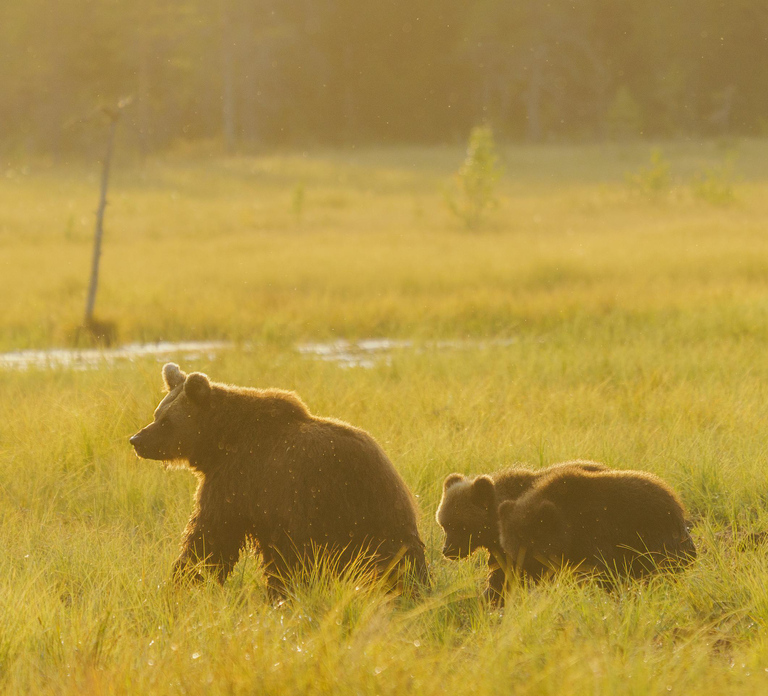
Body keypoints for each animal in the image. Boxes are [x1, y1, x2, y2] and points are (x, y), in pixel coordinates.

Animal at [130, 363, 428, 599]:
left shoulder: (241, 481)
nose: (137, 440)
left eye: (167, 421)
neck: (220, 443)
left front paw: (186, 579)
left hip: (358, 512)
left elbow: (211, 535)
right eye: (157, 413)